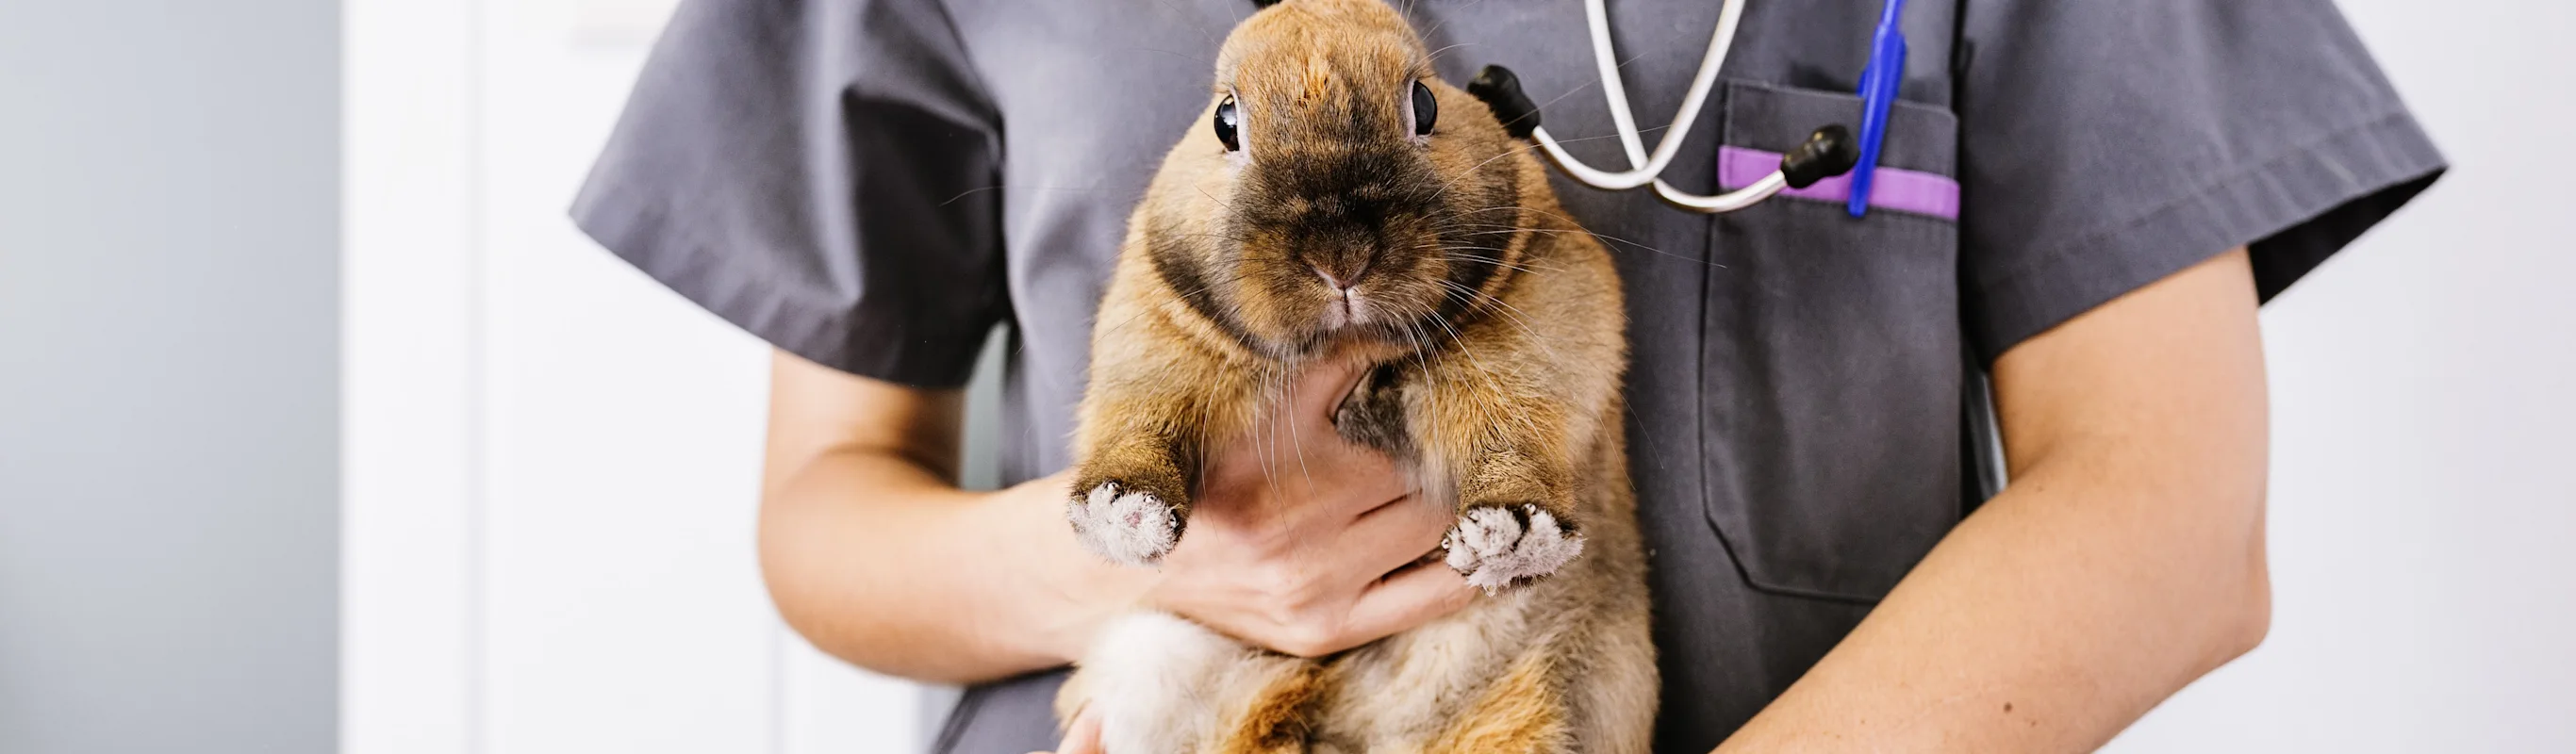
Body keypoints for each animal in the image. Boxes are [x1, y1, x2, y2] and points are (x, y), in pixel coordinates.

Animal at [1056, 1, 1659, 746]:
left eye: (1424, 103)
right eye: (1227, 120)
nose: (1339, 256)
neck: (1346, 349)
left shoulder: (1544, 304)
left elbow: (1510, 429)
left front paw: (1511, 537)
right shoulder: (1154, 329)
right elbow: (1138, 418)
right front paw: (1124, 515)